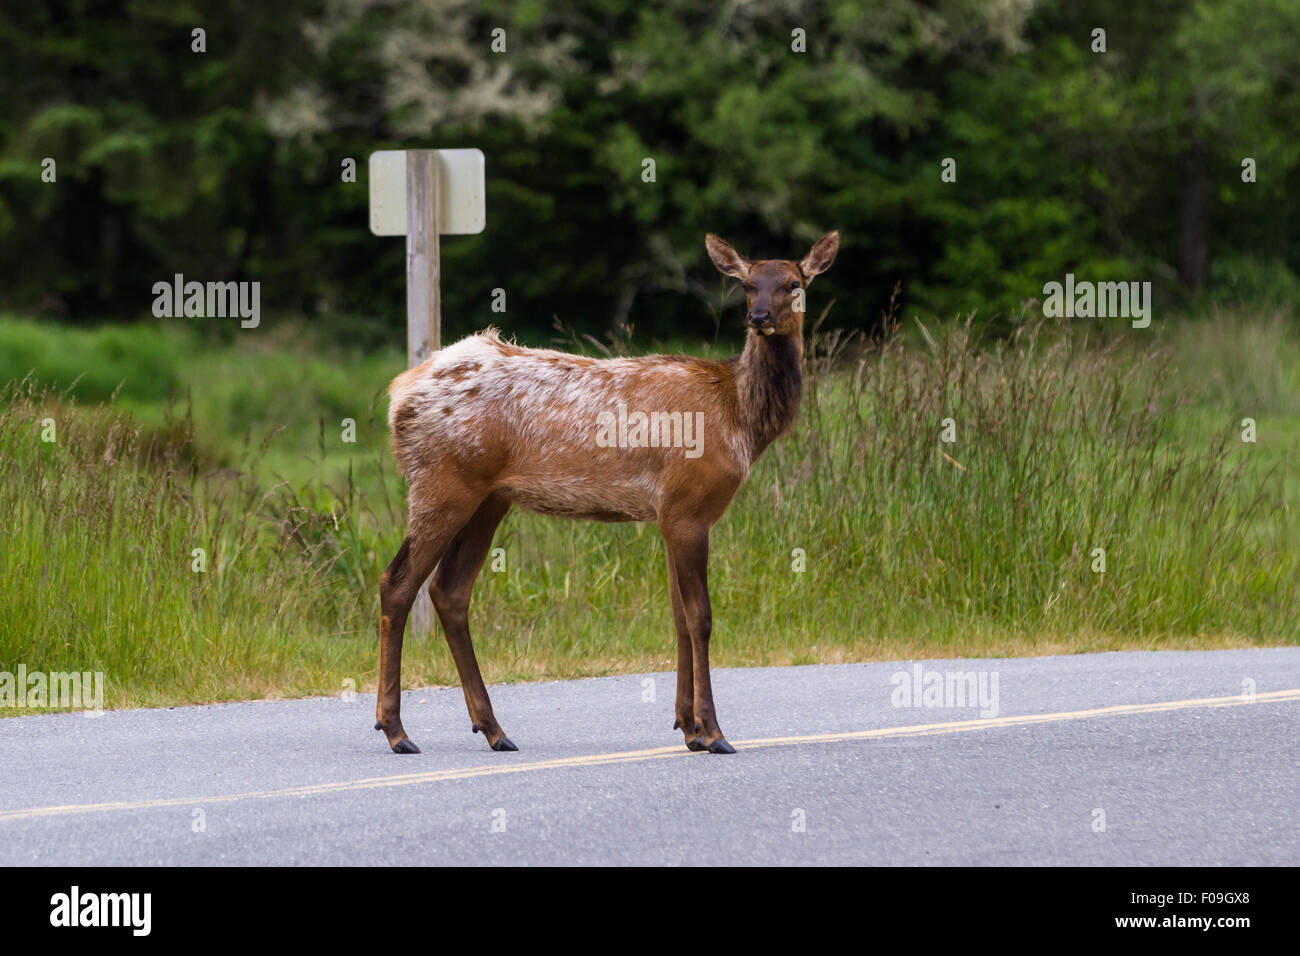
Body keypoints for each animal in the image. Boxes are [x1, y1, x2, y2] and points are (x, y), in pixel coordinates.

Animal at [377, 230, 842, 754]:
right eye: (746, 284)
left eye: (793, 283)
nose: (758, 317)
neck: (739, 419)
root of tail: (399, 393)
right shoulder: (688, 504)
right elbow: (700, 617)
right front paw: (714, 732)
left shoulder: (669, 513)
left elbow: (678, 616)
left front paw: (688, 728)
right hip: (442, 480)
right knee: (398, 582)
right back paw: (396, 730)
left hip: (489, 497)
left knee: (449, 590)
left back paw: (493, 729)